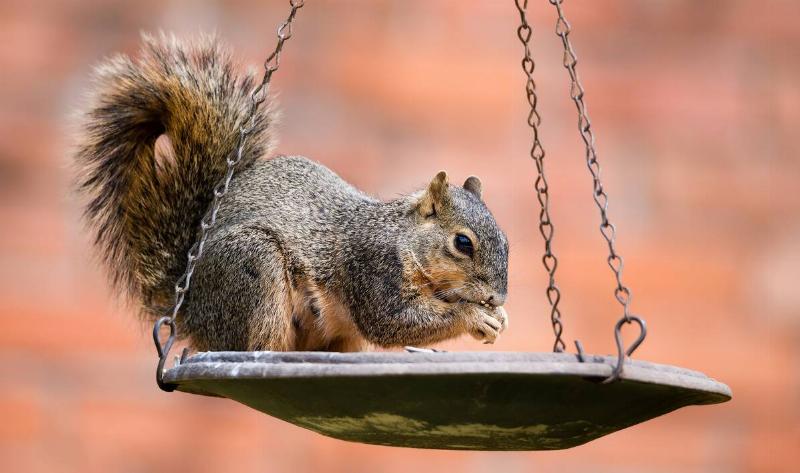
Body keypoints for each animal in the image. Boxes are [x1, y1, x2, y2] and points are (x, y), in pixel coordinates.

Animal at [74, 33, 509, 352]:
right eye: (462, 243)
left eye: (506, 241)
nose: (498, 299)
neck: (403, 240)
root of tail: (189, 310)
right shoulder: (372, 270)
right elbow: (393, 322)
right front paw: (475, 317)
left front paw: (496, 319)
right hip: (253, 267)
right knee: (253, 344)